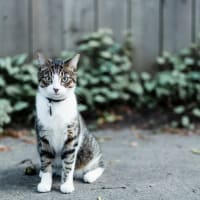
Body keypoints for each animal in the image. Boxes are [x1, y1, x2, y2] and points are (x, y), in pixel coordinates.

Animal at [35, 52, 104, 193]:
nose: (56, 89)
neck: (56, 105)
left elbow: (68, 162)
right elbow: (45, 160)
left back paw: (90, 175)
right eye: (48, 78)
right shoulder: (43, 136)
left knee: (99, 164)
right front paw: (45, 183)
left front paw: (66, 185)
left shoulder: (71, 136)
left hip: (89, 148)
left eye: (65, 79)